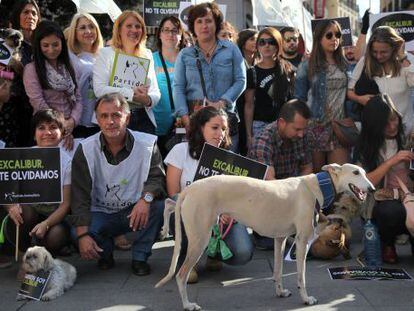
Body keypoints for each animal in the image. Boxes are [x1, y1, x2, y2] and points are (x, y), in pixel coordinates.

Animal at [156, 165, 376, 310]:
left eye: (364, 172)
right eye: (356, 172)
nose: (373, 188)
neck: (316, 186)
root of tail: (190, 189)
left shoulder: (280, 239)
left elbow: (278, 271)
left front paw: (281, 292)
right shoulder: (302, 241)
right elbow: (301, 276)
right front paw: (306, 299)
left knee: (170, 202)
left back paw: (165, 226)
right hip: (200, 238)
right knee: (180, 274)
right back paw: (187, 304)